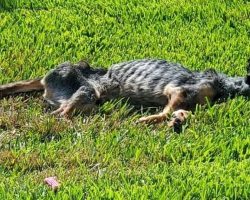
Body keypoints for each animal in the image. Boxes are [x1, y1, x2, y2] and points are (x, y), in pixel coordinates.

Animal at [0, 59, 250, 131]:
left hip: (84, 99)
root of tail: (45, 77)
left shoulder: (185, 99)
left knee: (61, 112)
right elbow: (164, 112)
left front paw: (178, 120)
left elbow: (185, 113)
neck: (225, 85)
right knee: (62, 115)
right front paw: (148, 120)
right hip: (87, 92)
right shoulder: (178, 91)